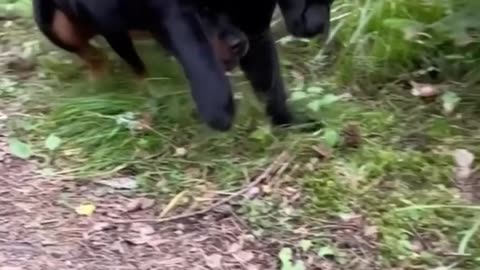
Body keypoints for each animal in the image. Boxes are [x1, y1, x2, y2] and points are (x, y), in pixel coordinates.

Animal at [32, 0, 249, 131]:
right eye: (202, 13)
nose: (239, 43)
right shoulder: (113, 28)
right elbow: (137, 66)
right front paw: (148, 92)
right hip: (53, 24)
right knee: (92, 54)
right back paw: (99, 80)